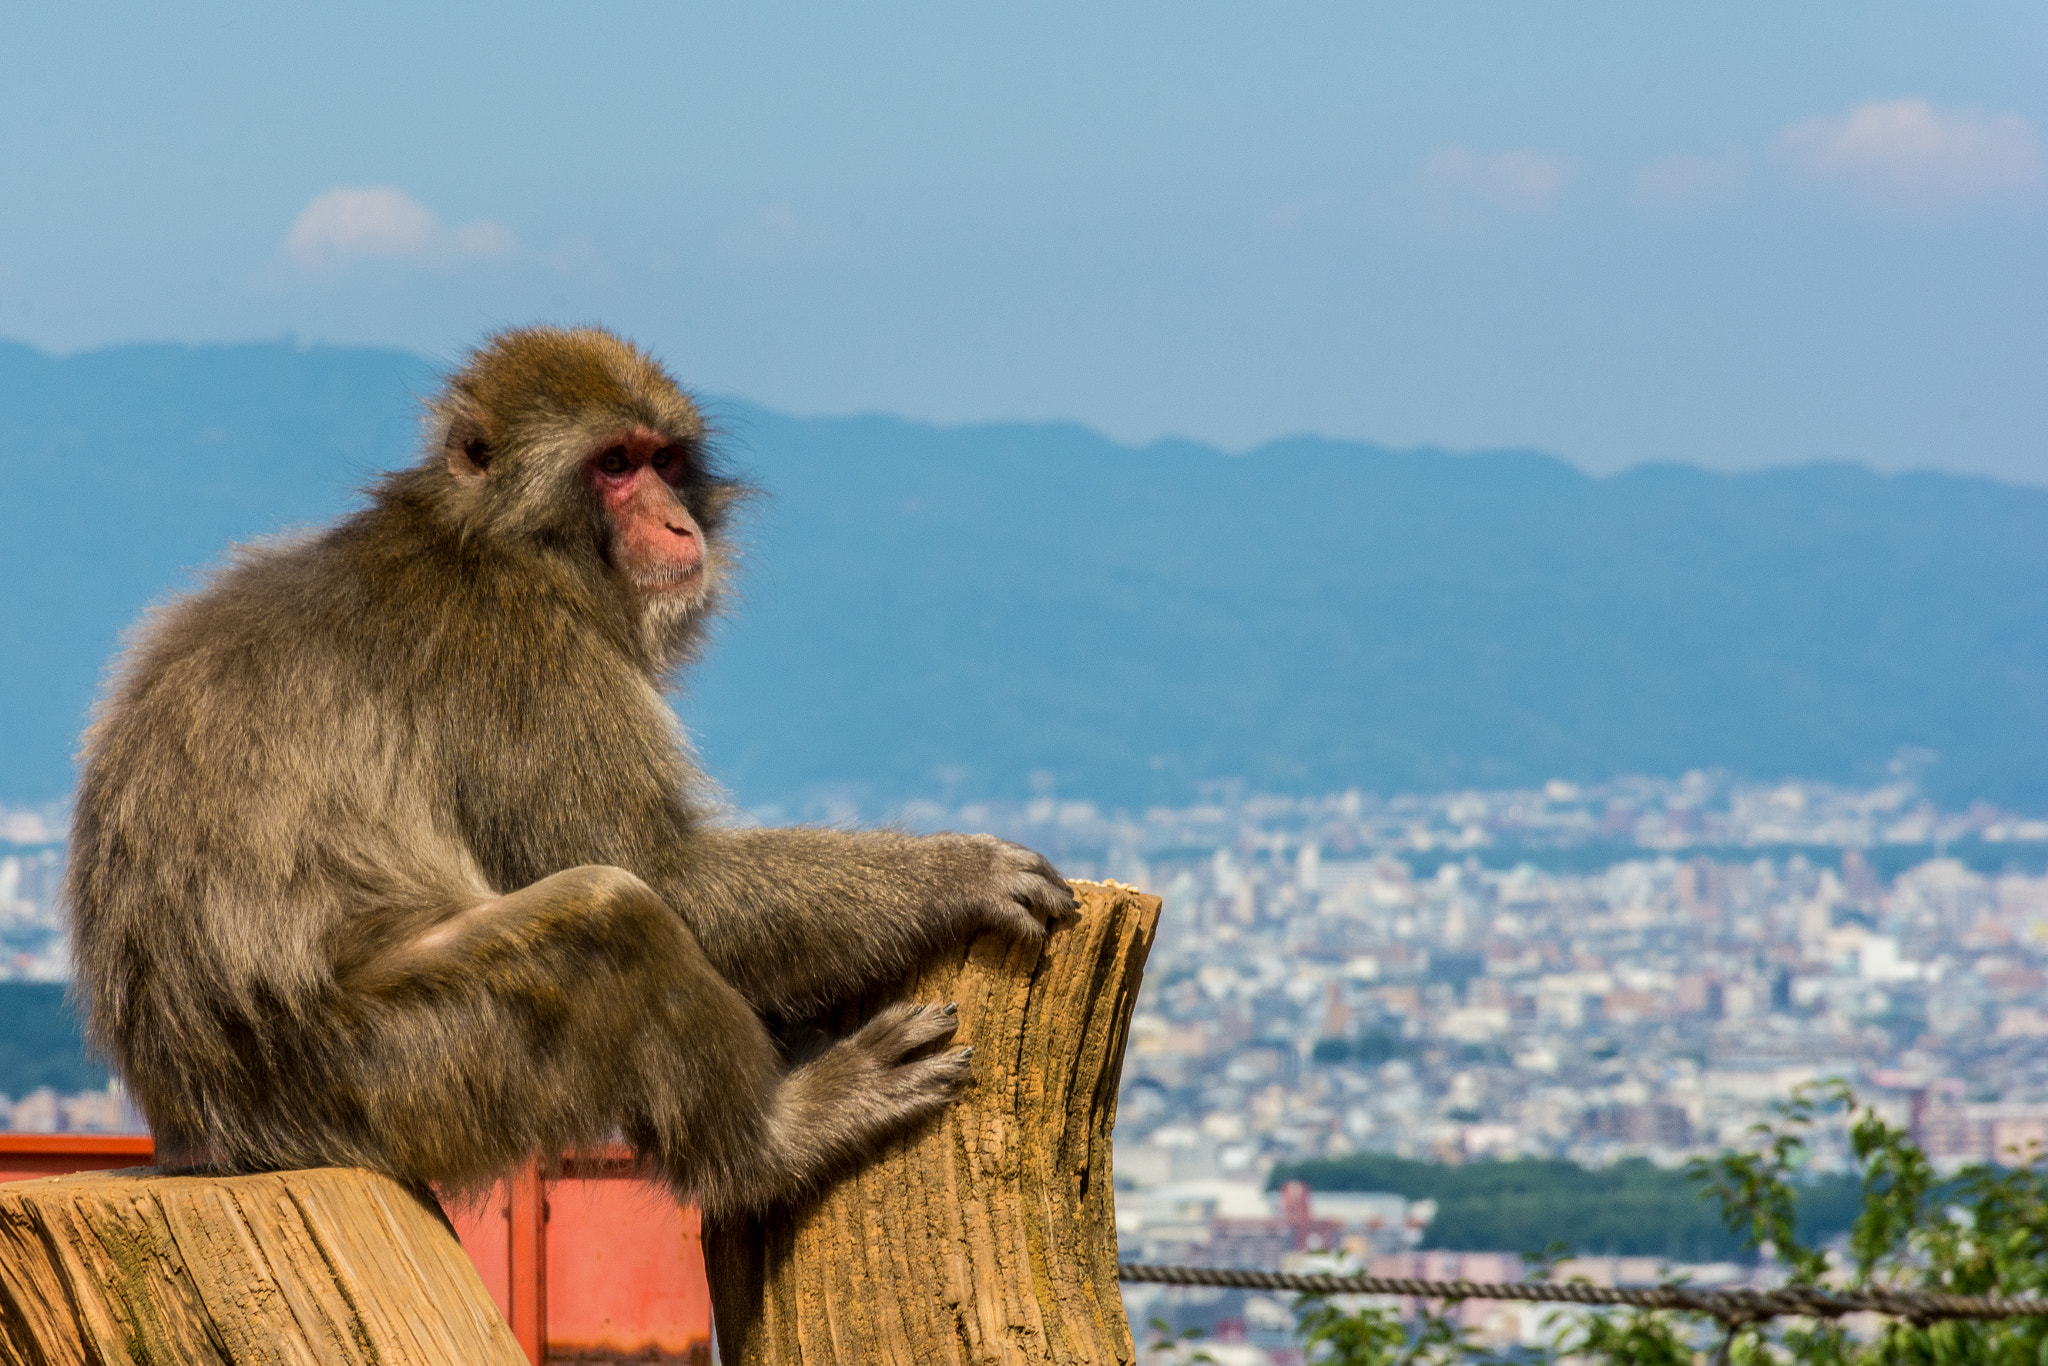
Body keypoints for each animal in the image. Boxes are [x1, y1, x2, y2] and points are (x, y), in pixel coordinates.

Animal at [63, 325, 1077, 1217]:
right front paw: (953, 872)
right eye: (614, 466)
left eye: (664, 460)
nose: (674, 522)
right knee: (605, 913)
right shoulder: (527, 656)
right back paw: (777, 1139)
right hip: (396, 1073)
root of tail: (212, 1134)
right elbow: (659, 870)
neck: (500, 540)